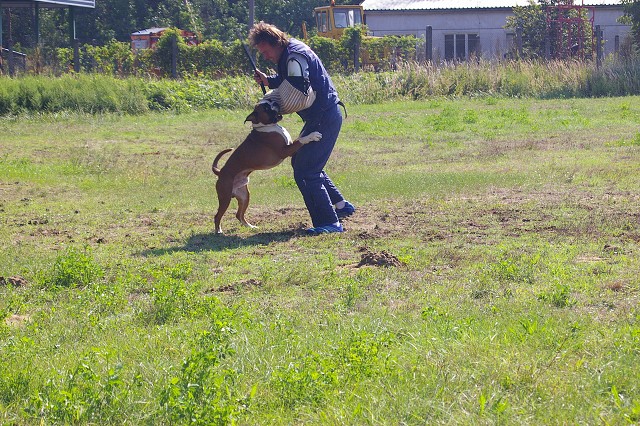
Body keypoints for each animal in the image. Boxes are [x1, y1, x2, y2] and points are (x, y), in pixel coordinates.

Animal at [214, 100, 322, 233]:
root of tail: (220, 172)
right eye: (265, 108)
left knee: (239, 215)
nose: (274, 102)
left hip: (244, 197)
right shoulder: (285, 150)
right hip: (225, 198)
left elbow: (298, 139)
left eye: (269, 101)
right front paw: (312, 136)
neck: (268, 127)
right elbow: (300, 140)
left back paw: (250, 226)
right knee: (217, 216)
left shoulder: (290, 150)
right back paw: (219, 230)